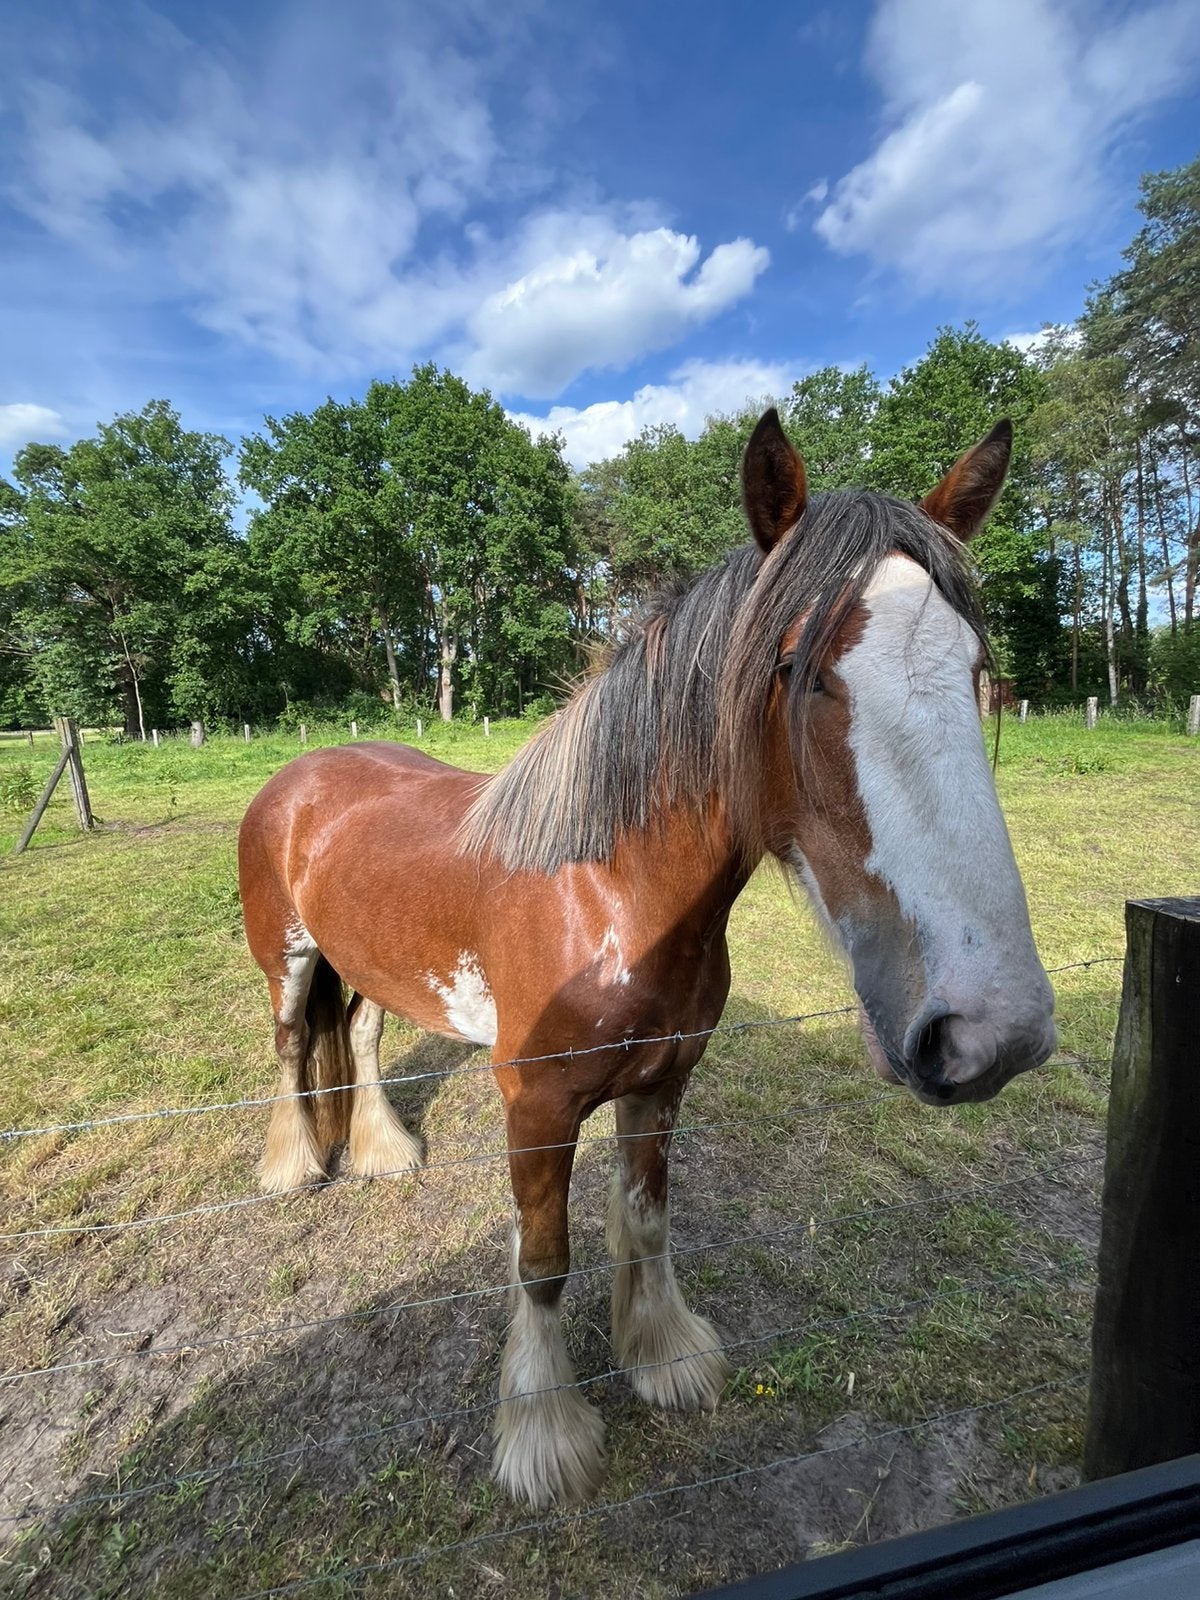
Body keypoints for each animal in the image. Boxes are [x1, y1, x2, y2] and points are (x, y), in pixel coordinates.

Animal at [237, 408, 1056, 1509]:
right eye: (797, 669)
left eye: (975, 670)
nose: (986, 1030)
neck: (606, 894)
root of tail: (303, 773)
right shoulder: (536, 1107)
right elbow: (543, 1260)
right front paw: (544, 1434)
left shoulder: (663, 1082)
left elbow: (647, 1222)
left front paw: (663, 1358)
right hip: (286, 959)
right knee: (293, 1049)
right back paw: (296, 1168)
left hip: (372, 963)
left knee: (360, 1035)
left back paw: (382, 1151)